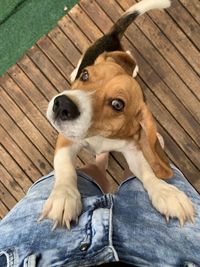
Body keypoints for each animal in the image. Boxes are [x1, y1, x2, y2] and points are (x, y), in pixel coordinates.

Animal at [39, 0, 195, 229]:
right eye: (85, 76)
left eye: (117, 104)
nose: (62, 105)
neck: (99, 135)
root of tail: (112, 37)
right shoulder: (66, 139)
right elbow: (65, 167)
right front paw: (64, 197)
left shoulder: (132, 149)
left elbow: (148, 173)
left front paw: (166, 193)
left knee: (129, 57)